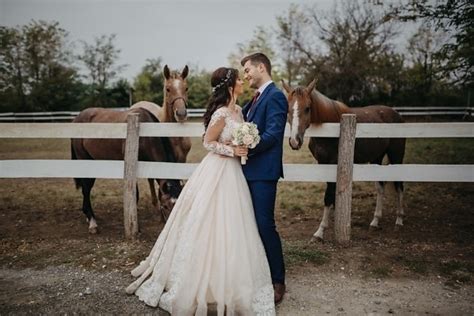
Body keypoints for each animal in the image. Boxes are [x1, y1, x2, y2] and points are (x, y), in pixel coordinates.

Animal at [284, 79, 406, 242]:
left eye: (307, 108)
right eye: (288, 109)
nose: (294, 141)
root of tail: (396, 115)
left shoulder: (333, 164)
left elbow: (328, 196)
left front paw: (320, 231)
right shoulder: (323, 164)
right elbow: (333, 198)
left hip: (396, 156)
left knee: (399, 185)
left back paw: (399, 220)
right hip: (377, 158)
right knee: (381, 187)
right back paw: (375, 221)